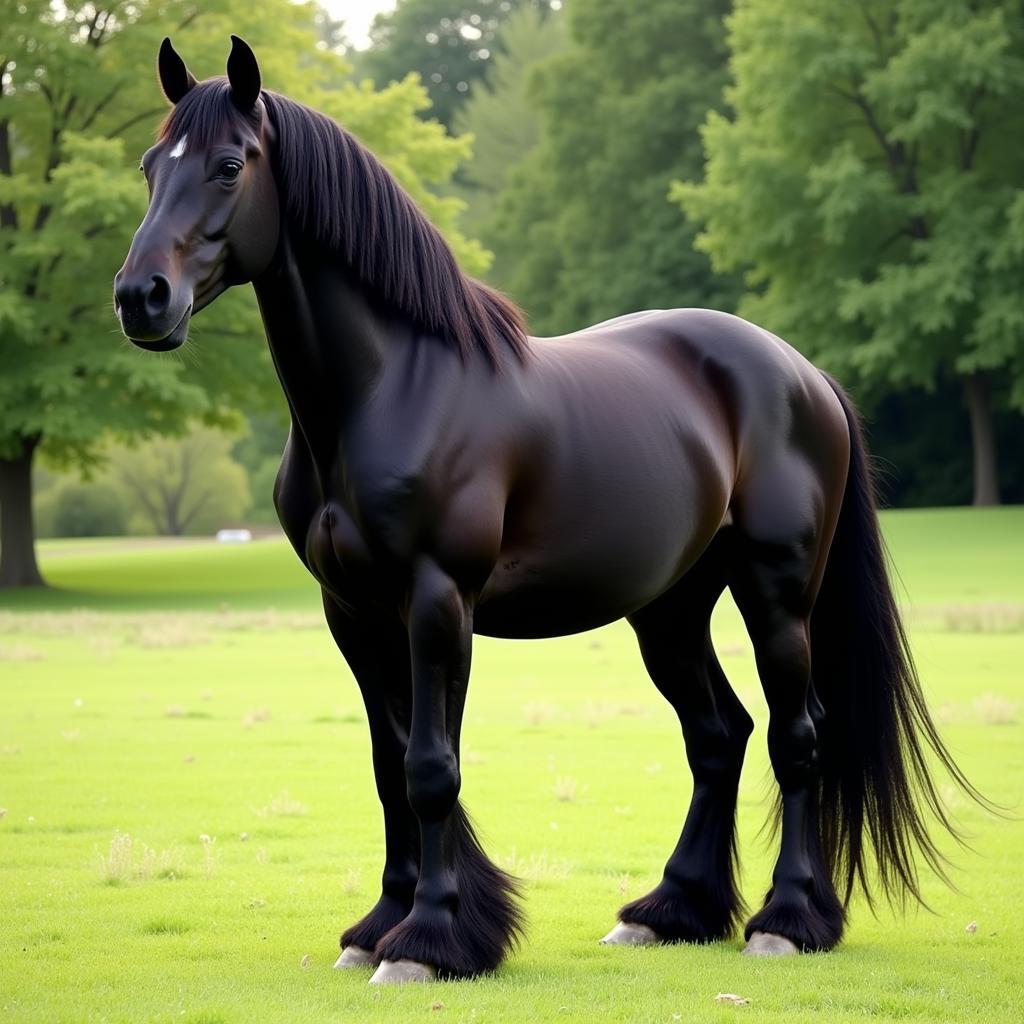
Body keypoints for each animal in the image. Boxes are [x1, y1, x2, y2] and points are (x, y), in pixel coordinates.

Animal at [116, 37, 970, 983]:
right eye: (152, 166)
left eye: (230, 165)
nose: (140, 297)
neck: (392, 389)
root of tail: (802, 372)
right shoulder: (354, 612)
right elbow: (386, 762)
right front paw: (380, 924)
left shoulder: (437, 600)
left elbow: (430, 768)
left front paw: (431, 937)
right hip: (669, 611)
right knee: (720, 735)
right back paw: (670, 910)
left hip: (777, 596)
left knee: (796, 737)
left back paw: (785, 920)